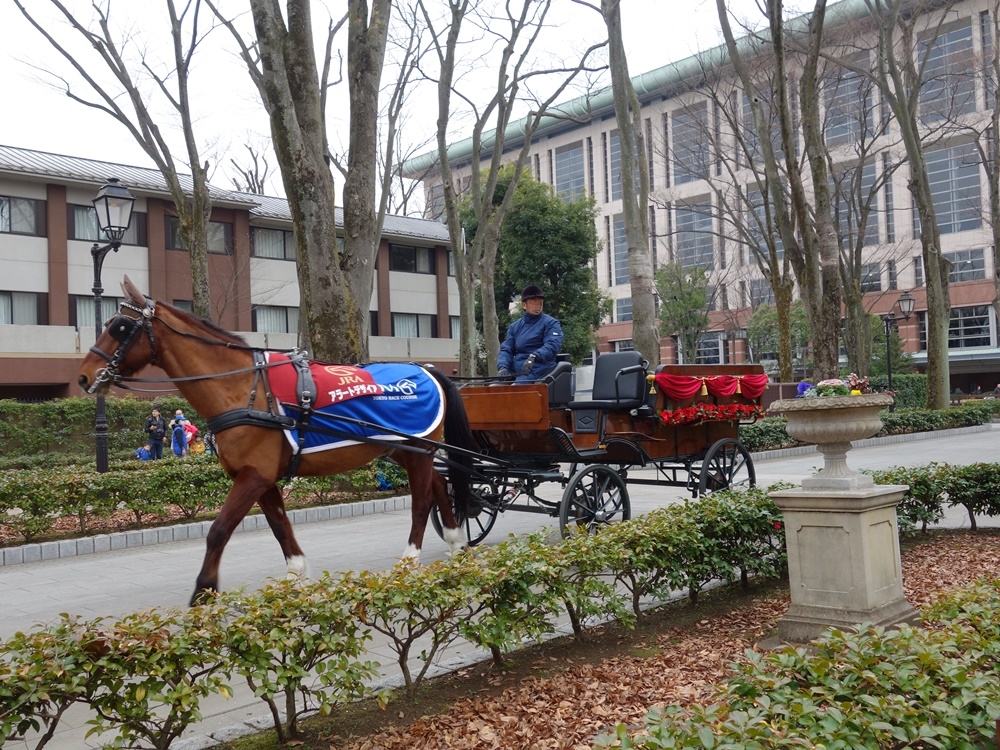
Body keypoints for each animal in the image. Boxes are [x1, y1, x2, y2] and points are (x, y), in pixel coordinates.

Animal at [78, 280, 476, 608]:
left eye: (119, 327)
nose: (84, 377)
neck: (243, 389)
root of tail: (426, 369)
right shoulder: (261, 477)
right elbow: (280, 525)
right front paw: (297, 573)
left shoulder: (253, 475)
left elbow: (218, 531)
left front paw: (204, 589)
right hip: (404, 450)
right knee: (438, 484)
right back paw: (456, 540)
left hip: (419, 450)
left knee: (422, 499)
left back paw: (410, 558)